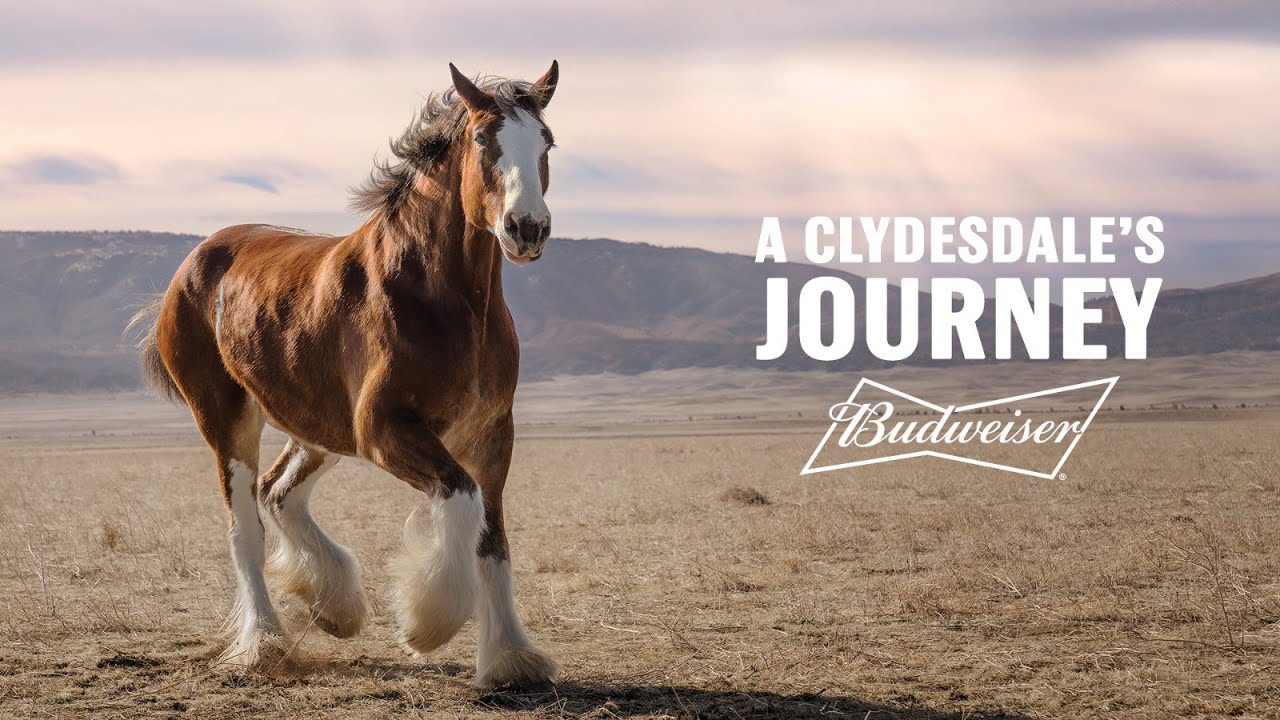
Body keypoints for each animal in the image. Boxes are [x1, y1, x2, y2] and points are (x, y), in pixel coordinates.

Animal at [131, 61, 565, 681]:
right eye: (485, 138)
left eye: (547, 142)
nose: (527, 228)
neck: (441, 298)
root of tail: (194, 263)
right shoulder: (383, 429)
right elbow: (462, 501)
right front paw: (427, 624)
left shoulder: (491, 433)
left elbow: (493, 539)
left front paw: (511, 658)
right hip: (227, 422)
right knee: (245, 528)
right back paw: (265, 642)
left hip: (318, 428)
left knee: (278, 492)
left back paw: (335, 604)